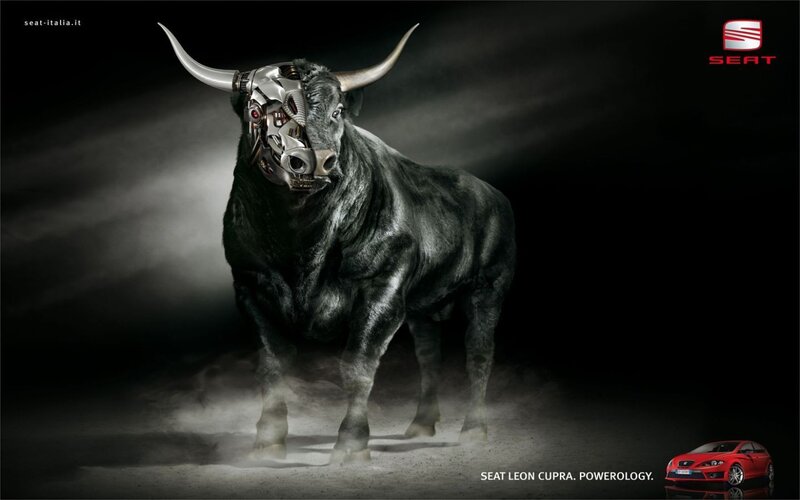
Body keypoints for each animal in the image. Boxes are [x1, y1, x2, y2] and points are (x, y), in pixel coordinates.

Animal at [159, 23, 516, 463]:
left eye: (337, 112)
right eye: (257, 113)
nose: (314, 161)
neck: (301, 243)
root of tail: (493, 194)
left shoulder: (382, 288)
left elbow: (358, 364)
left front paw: (350, 444)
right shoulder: (250, 287)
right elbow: (272, 365)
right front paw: (268, 441)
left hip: (489, 288)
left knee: (479, 353)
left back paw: (474, 429)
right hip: (422, 306)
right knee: (429, 355)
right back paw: (420, 424)